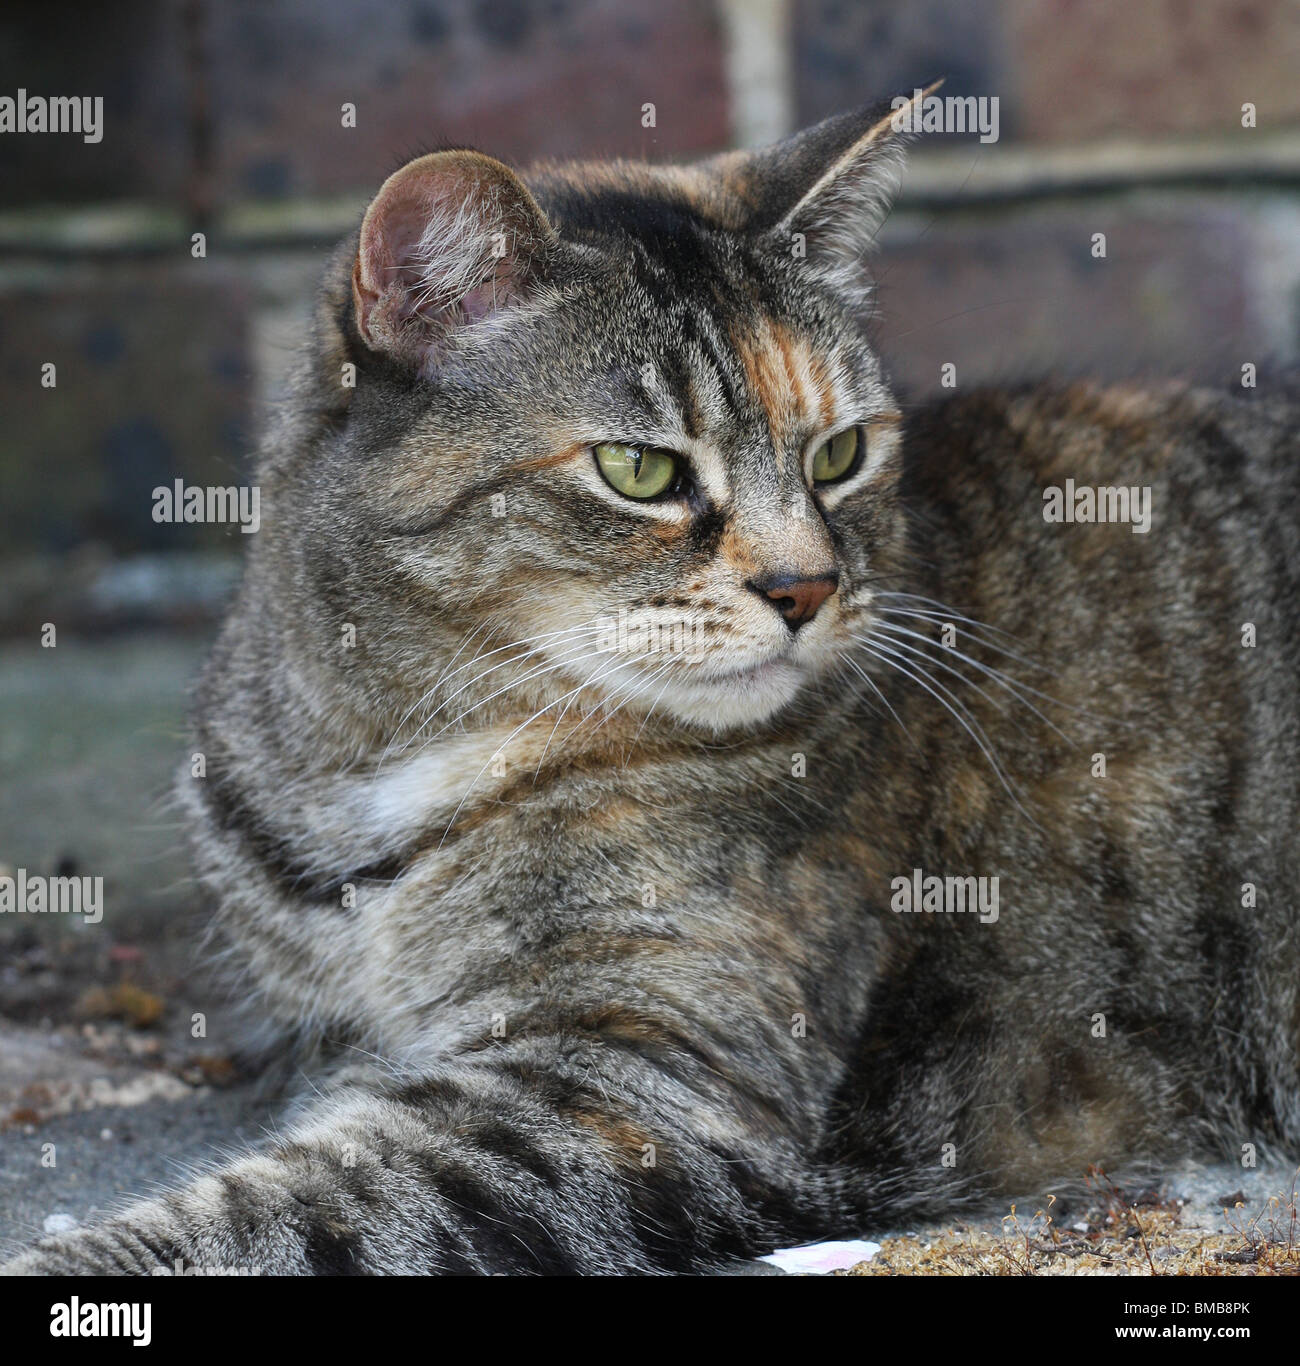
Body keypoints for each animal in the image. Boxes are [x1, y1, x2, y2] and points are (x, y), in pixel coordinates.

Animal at [5, 93, 1294, 1267]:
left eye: (840, 453)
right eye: (640, 470)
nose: (805, 586)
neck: (392, 759)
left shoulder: (646, 1071)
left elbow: (283, 1201)